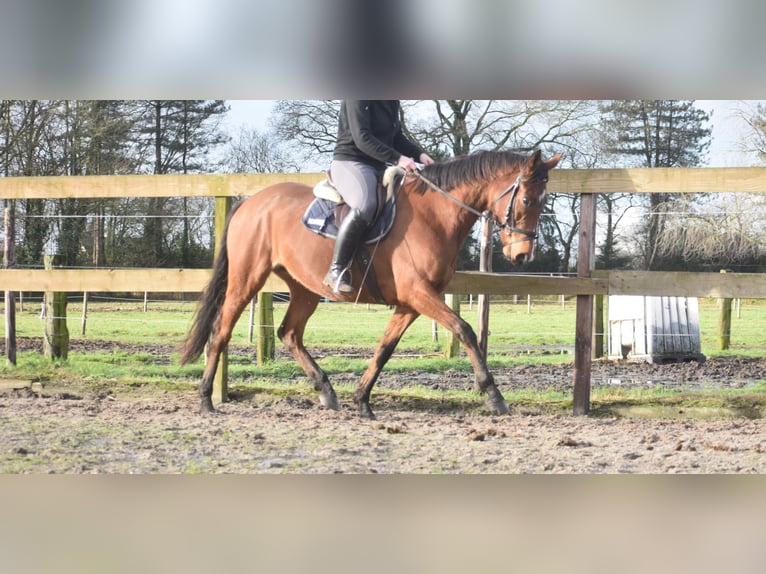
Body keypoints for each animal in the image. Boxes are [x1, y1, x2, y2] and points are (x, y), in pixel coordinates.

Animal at [180, 148, 564, 418]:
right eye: (527, 199)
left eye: (545, 201)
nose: (522, 256)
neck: (434, 215)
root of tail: (250, 203)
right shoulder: (419, 294)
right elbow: (465, 330)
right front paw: (494, 395)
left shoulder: (411, 302)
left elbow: (384, 348)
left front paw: (362, 400)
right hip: (246, 278)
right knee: (222, 330)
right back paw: (205, 399)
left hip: (304, 288)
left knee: (289, 333)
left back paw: (326, 391)